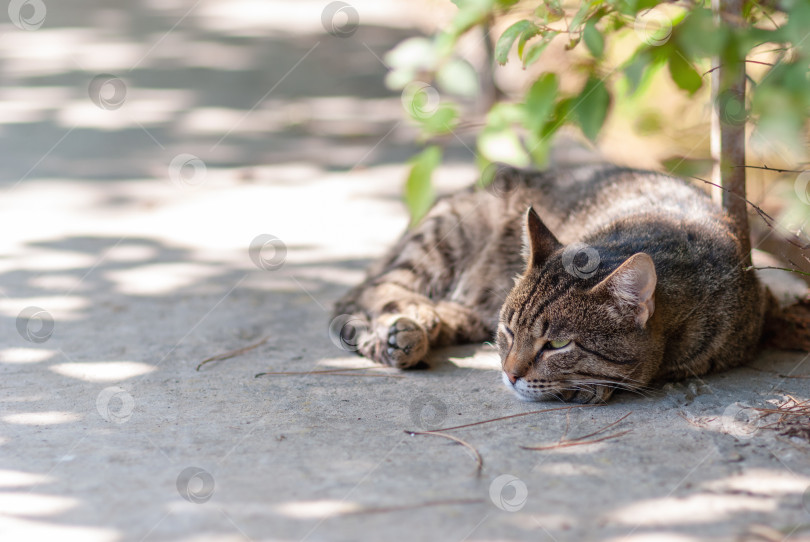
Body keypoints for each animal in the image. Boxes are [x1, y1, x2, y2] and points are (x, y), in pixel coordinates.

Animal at [332, 154, 772, 404]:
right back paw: (403, 326)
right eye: (510, 332)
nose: (510, 374)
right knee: (368, 291)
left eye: (558, 345)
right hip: (442, 239)